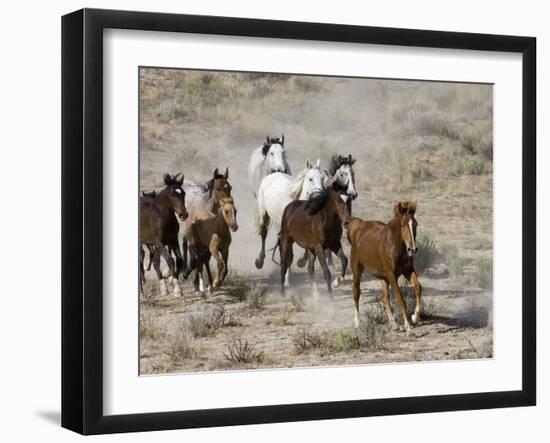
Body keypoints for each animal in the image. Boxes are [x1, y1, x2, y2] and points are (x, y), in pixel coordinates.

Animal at [348, 202, 424, 336]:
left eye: (415, 224)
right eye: (403, 225)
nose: (412, 249)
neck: (395, 246)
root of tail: (359, 226)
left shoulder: (408, 271)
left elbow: (418, 288)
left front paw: (415, 317)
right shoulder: (392, 275)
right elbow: (400, 300)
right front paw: (409, 328)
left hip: (384, 278)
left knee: (385, 298)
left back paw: (394, 324)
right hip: (357, 270)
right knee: (356, 292)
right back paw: (357, 322)